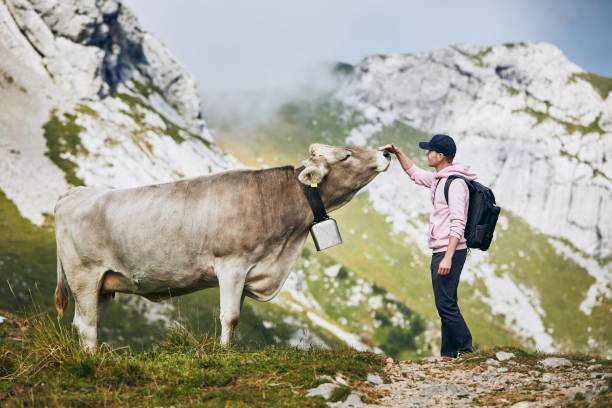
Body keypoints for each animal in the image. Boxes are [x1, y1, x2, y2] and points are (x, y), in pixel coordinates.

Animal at [56, 143, 392, 348]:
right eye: (346, 155)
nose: (385, 154)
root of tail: (74, 193)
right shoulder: (232, 265)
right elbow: (229, 316)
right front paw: (224, 353)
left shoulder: (249, 271)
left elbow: (237, 316)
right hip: (84, 275)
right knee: (85, 325)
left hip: (105, 283)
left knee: (89, 322)